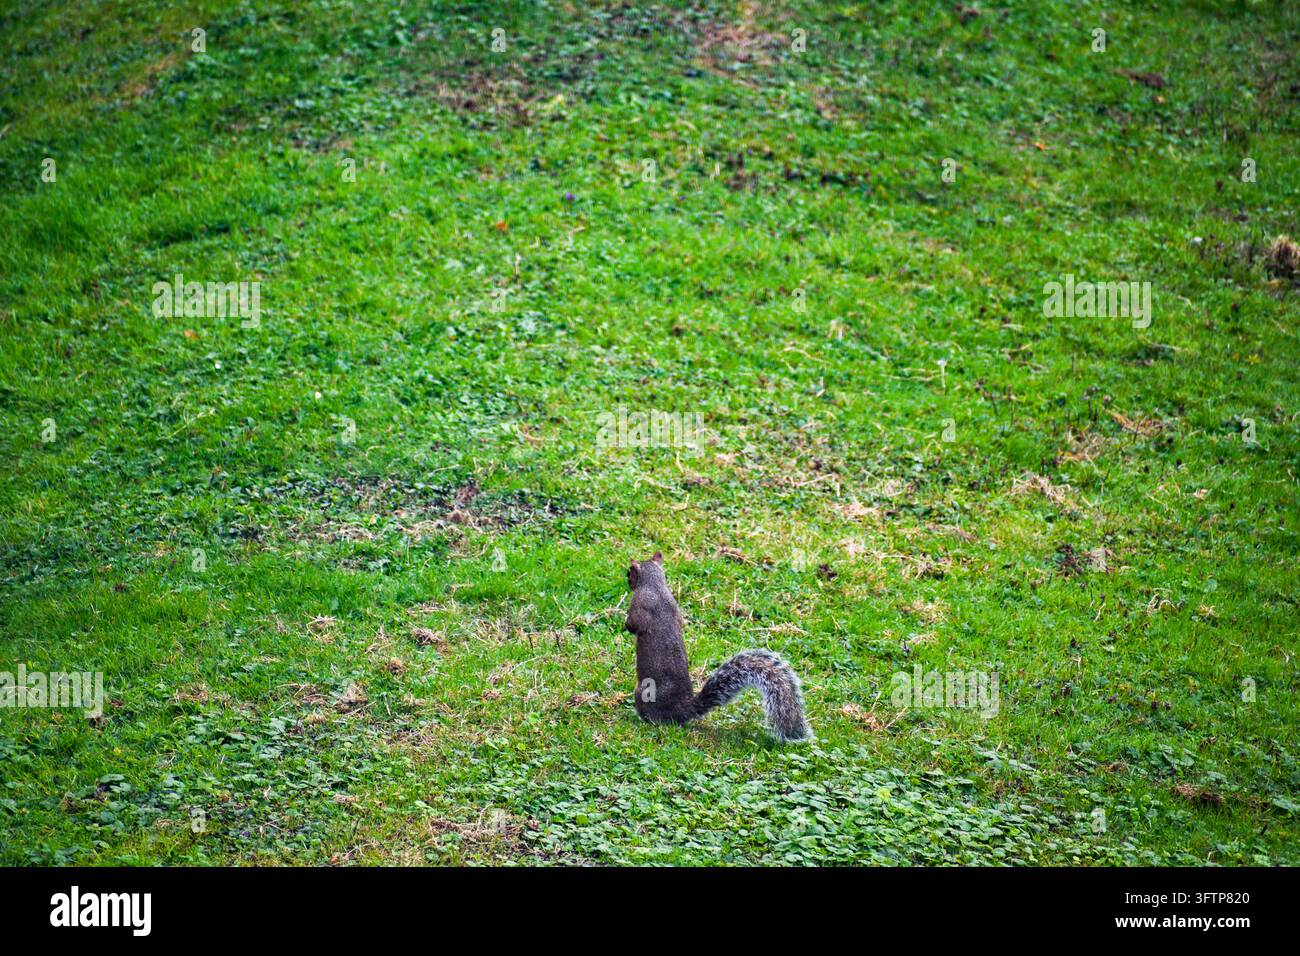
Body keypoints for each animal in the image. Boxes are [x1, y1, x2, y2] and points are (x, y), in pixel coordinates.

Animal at [625, 552, 813, 743]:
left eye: (629, 572)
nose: (628, 581)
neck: (655, 585)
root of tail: (681, 710)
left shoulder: (639, 604)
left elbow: (633, 624)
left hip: (643, 693)